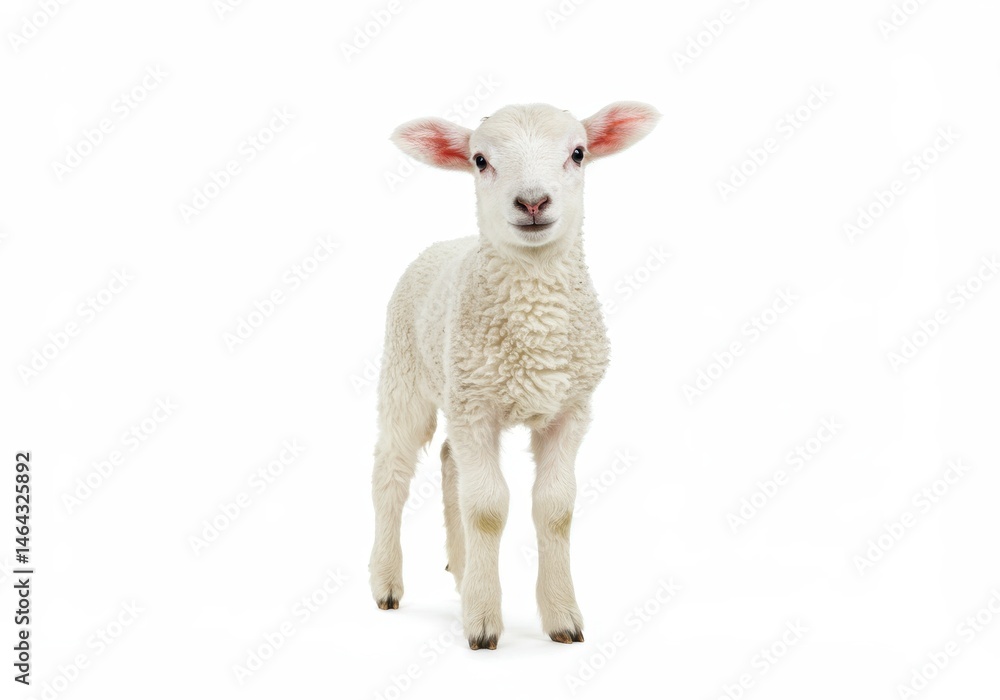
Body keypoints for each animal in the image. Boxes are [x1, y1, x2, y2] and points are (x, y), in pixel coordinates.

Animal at [369, 101, 660, 650]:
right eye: (480, 160)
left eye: (578, 153)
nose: (532, 202)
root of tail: (445, 243)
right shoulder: (477, 408)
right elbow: (487, 508)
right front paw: (483, 621)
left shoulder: (569, 409)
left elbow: (555, 508)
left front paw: (562, 616)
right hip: (406, 377)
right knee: (391, 474)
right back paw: (386, 582)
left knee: (449, 462)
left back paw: (461, 569)